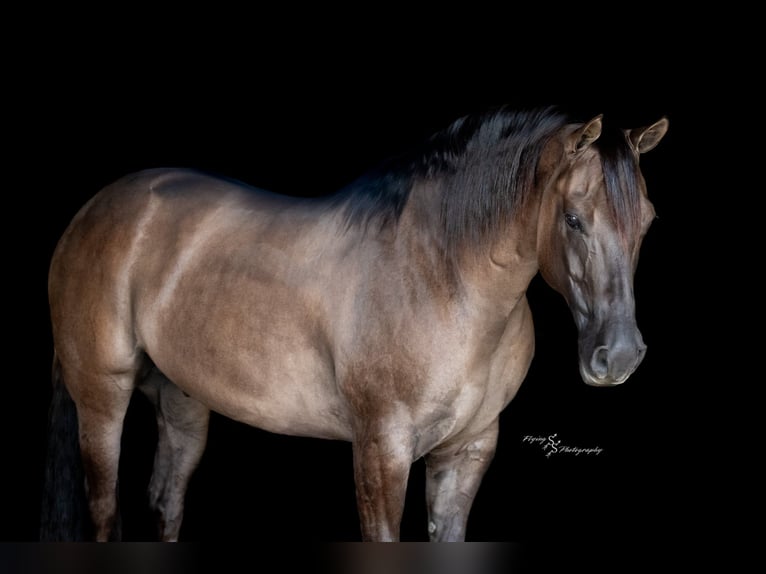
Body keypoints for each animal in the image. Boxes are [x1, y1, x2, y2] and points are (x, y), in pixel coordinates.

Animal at [40, 105, 668, 542]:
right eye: (573, 219)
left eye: (648, 220)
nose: (619, 355)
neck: (443, 278)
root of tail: (95, 211)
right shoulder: (380, 451)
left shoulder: (467, 452)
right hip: (102, 396)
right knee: (105, 511)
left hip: (183, 403)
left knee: (165, 503)